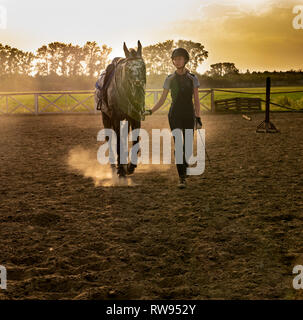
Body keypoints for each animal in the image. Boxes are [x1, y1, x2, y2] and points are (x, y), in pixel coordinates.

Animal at [95, 40, 147, 178]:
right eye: (128, 69)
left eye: (143, 66)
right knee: (109, 138)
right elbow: (118, 141)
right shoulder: (115, 118)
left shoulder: (135, 117)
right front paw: (121, 169)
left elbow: (135, 140)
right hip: (105, 118)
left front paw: (131, 166)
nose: (138, 93)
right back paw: (114, 164)